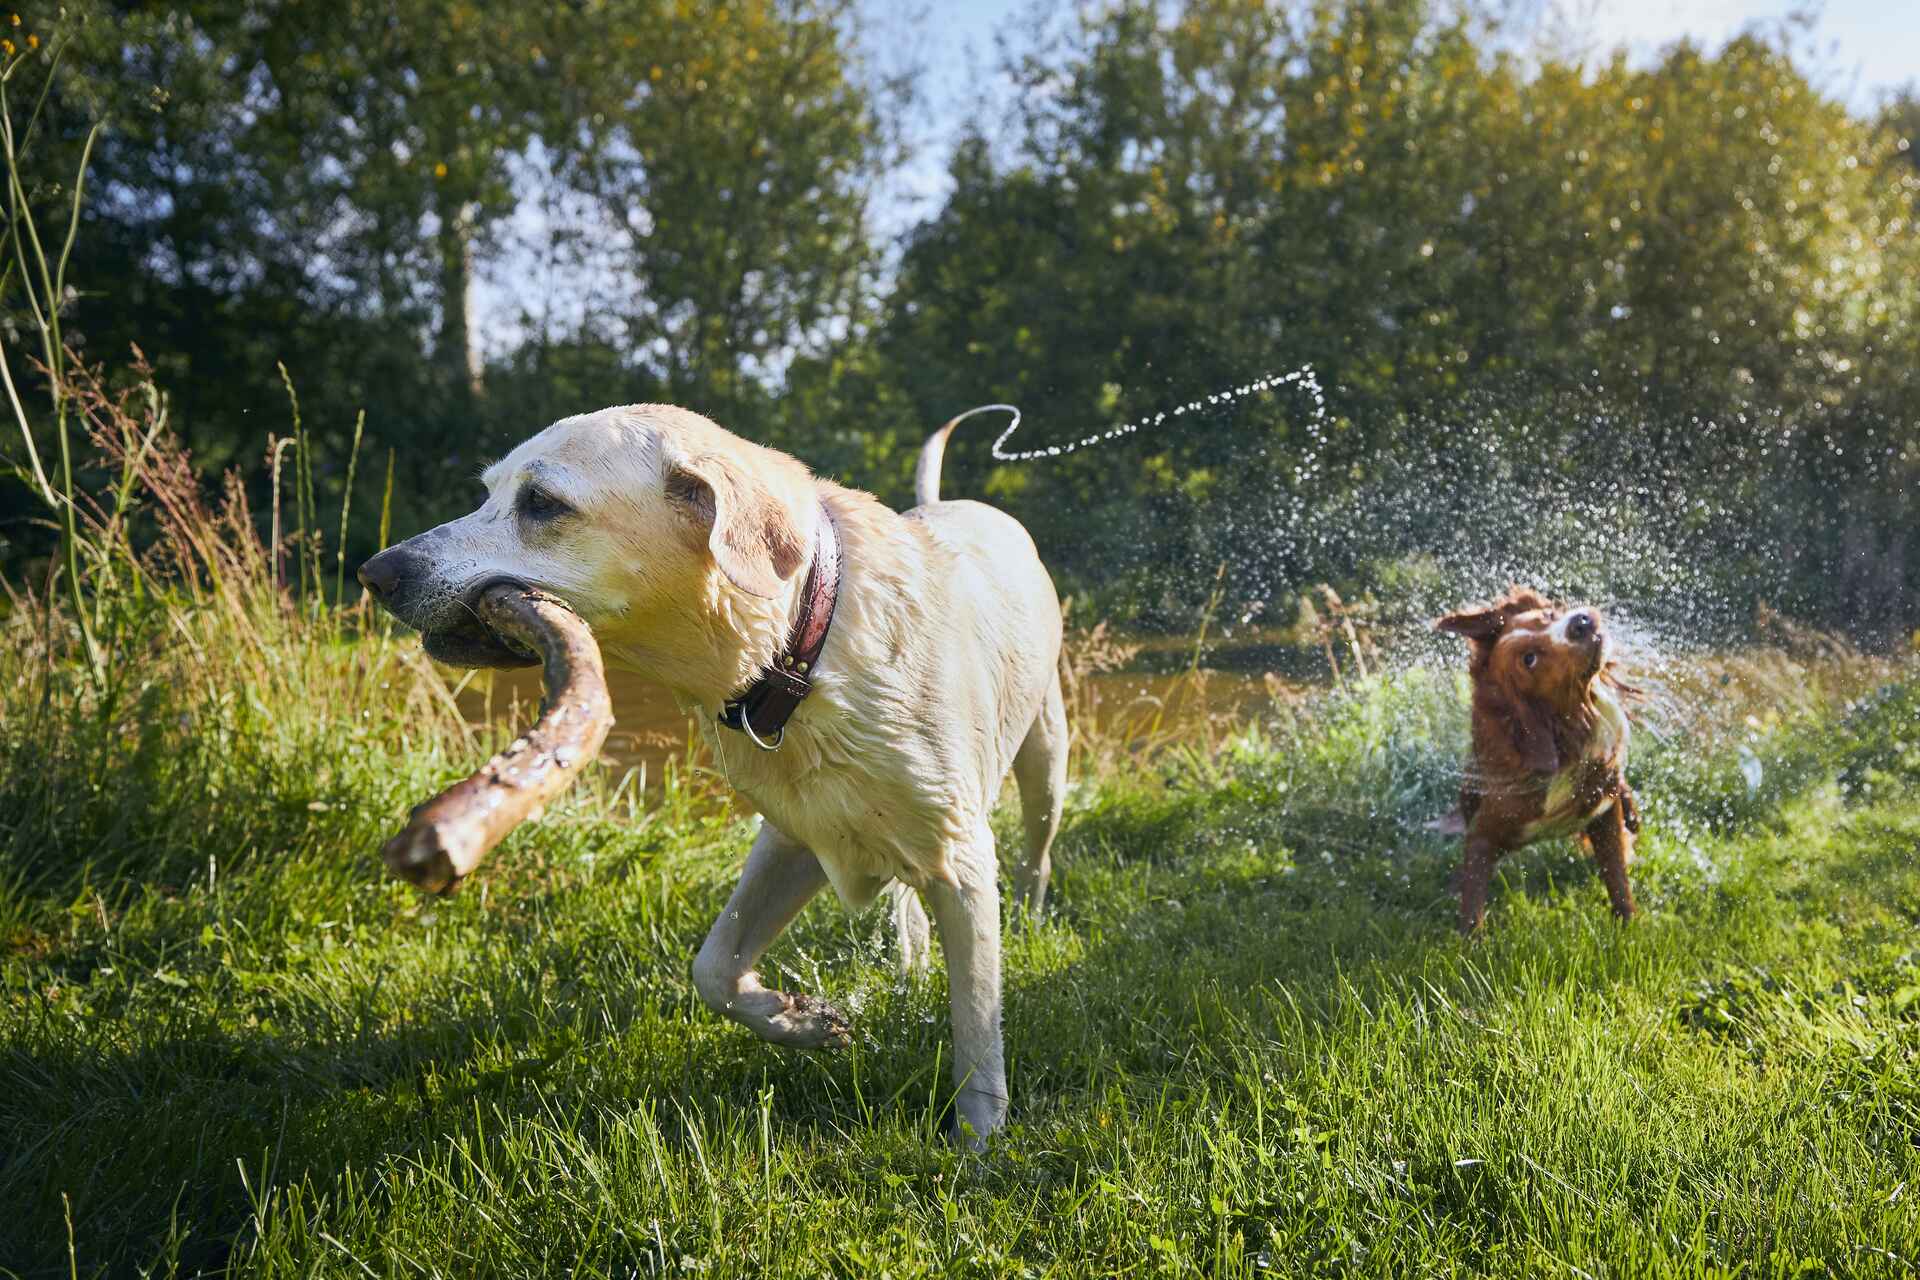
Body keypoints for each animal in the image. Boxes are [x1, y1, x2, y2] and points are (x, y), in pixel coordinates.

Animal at [1443, 587, 1635, 932]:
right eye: (1529, 659)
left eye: (1548, 616)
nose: (1581, 623)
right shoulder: (1485, 831)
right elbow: (1472, 902)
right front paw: (1469, 939)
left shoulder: (1602, 808)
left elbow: (1617, 879)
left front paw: (1627, 926)